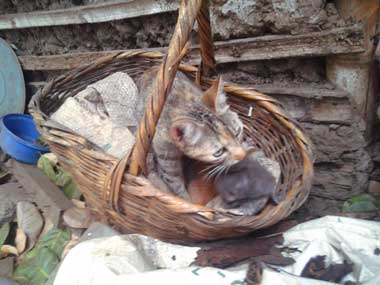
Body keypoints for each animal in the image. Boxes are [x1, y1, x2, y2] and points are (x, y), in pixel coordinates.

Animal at [137, 67, 246, 199]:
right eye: (218, 152)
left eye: (237, 133)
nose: (243, 155)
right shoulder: (166, 157)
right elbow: (174, 182)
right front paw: (185, 199)